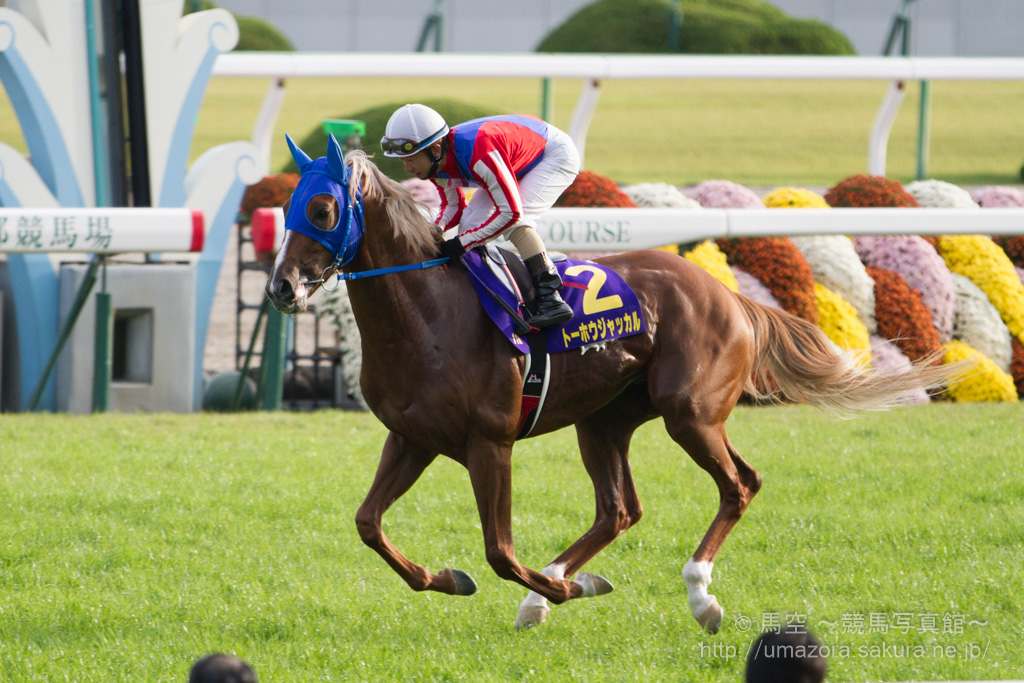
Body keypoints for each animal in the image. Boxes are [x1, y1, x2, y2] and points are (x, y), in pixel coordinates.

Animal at [265, 134, 961, 632]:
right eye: (287, 208)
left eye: (323, 209)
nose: (282, 288)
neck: (429, 312)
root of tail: (730, 296)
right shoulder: (412, 438)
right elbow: (369, 524)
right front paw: (452, 579)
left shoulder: (490, 443)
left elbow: (499, 552)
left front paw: (561, 588)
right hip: (604, 420)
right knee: (621, 508)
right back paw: (560, 592)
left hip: (690, 412)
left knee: (737, 484)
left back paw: (698, 595)